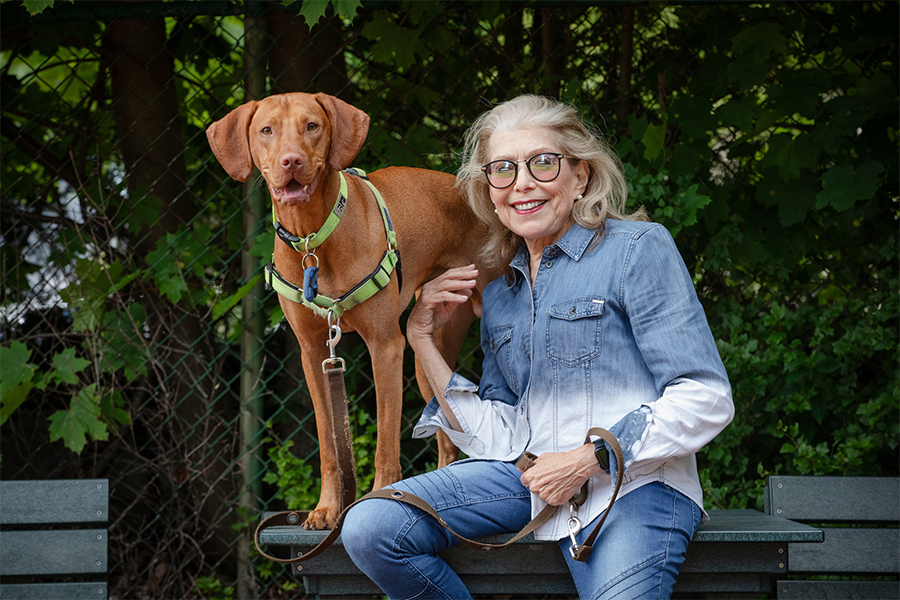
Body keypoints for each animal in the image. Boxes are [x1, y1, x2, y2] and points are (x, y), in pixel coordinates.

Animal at [206, 91, 492, 528]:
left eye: (312, 125)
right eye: (266, 130)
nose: (291, 161)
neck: (313, 237)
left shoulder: (386, 347)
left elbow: (386, 444)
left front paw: (377, 500)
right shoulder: (314, 355)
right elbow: (328, 446)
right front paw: (327, 508)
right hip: (428, 359)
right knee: (448, 441)